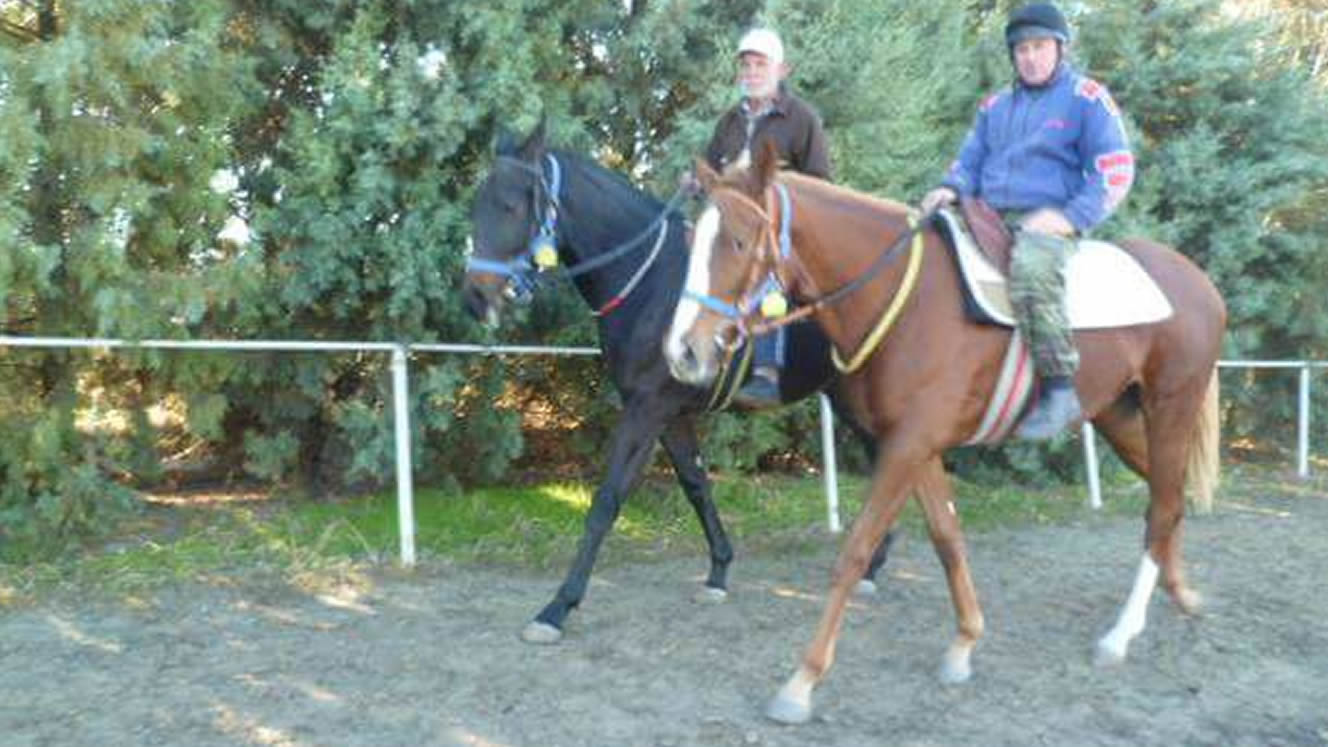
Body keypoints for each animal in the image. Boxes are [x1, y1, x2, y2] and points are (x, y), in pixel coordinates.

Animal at [464, 122, 892, 640]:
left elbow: (607, 501)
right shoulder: (670, 414)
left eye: (510, 205)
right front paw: (719, 571)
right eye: (476, 205)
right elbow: (695, 485)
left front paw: (557, 607)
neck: (650, 285)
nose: (474, 296)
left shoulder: (646, 409)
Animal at [664, 144, 1221, 723]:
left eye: (738, 240)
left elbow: (855, 552)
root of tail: (1195, 280)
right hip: (1120, 416)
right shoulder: (919, 445)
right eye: (694, 239)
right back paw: (1181, 592)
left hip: (1172, 405)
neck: (905, 301)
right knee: (1166, 498)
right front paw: (965, 643)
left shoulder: (907, 445)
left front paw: (801, 682)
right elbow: (947, 537)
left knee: (1163, 504)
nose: (683, 351)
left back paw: (1121, 634)